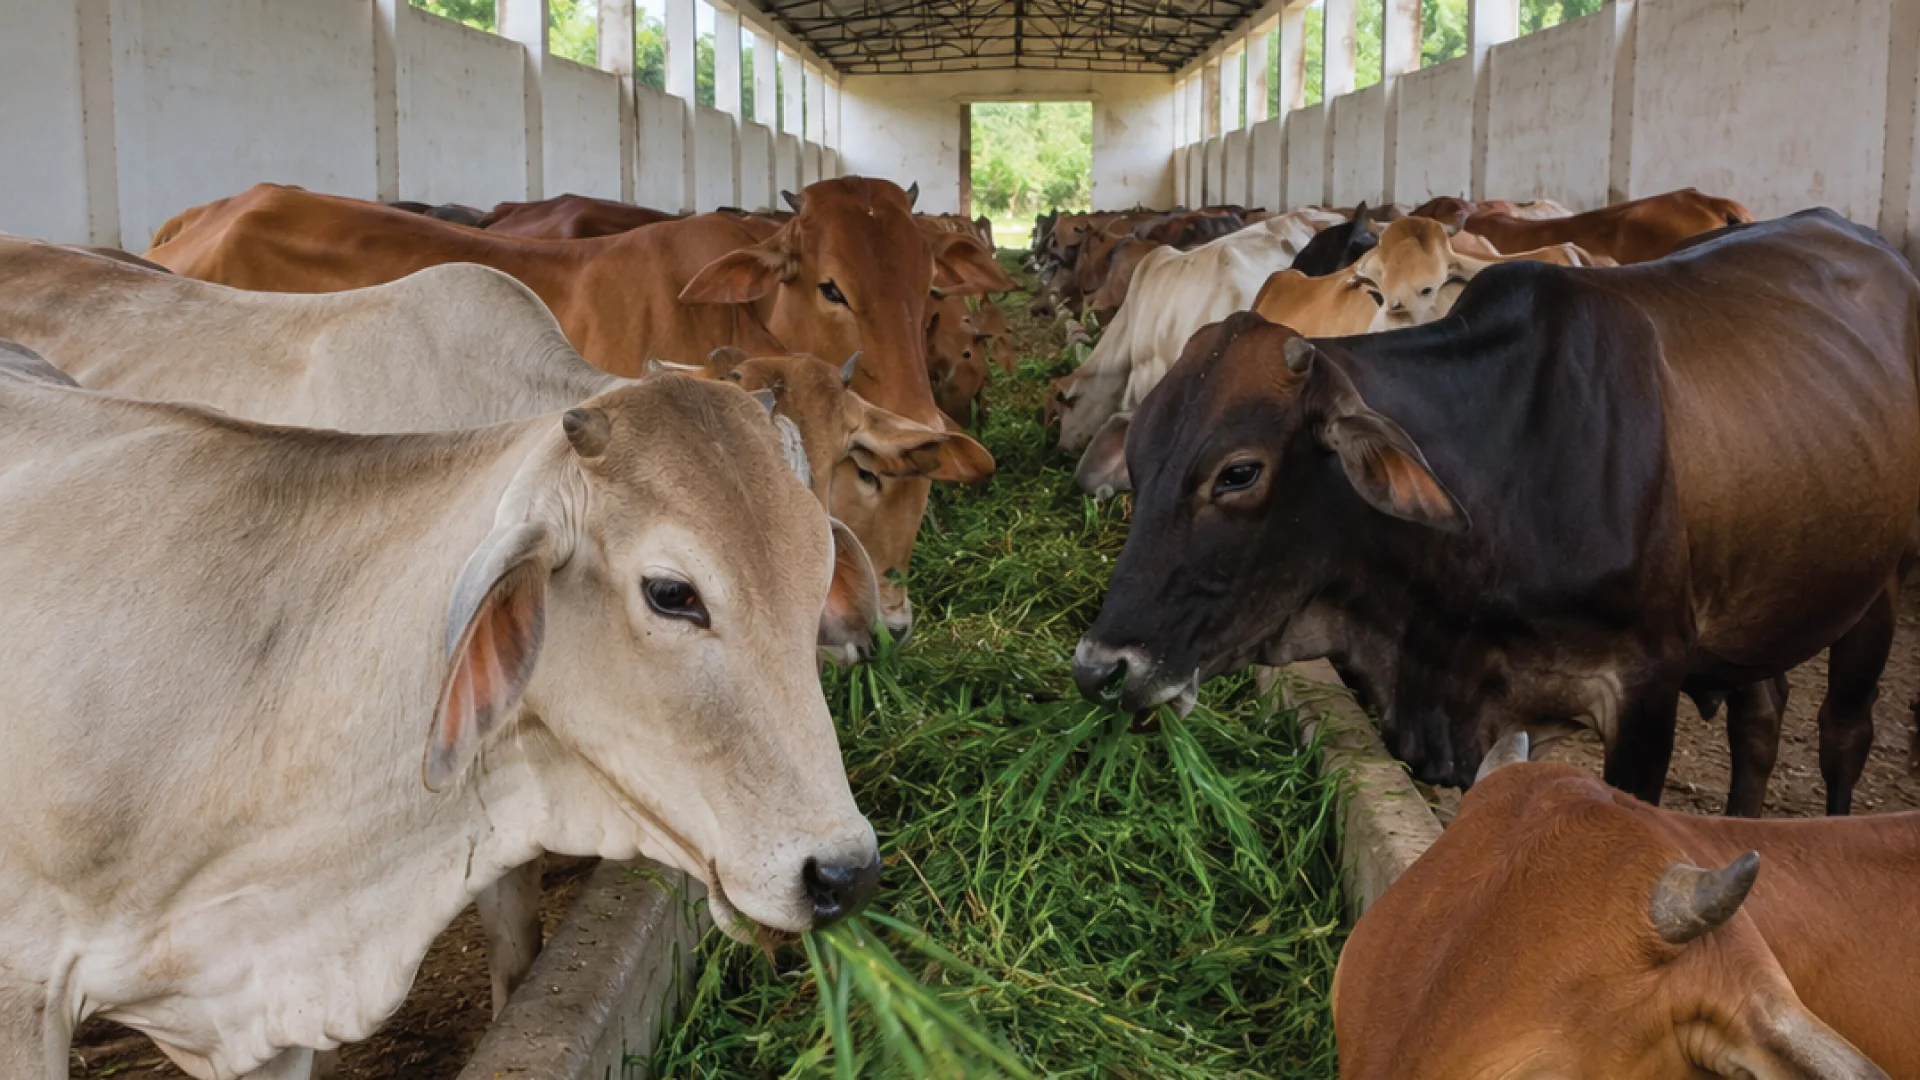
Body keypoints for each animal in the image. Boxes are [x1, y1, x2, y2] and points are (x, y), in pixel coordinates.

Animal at [1072, 210, 1920, 816]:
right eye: (1139, 460)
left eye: (1239, 472)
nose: (1099, 667)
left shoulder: (1646, 689)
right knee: (1760, 719)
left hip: (1874, 589)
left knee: (1844, 734)